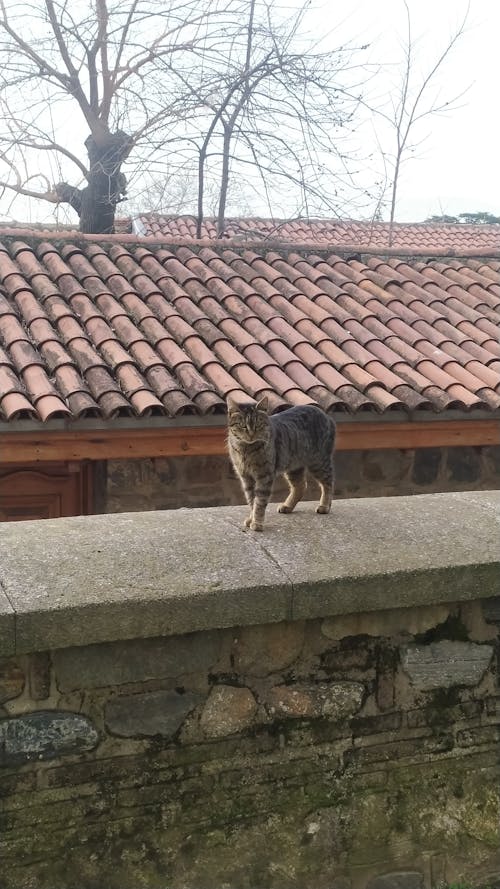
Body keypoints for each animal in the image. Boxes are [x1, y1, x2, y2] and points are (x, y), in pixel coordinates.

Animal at [227, 398, 336, 532]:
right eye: (243, 426)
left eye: (258, 425)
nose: (251, 434)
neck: (246, 449)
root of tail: (327, 416)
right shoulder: (246, 477)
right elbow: (252, 500)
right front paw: (251, 519)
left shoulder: (264, 476)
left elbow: (259, 502)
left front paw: (257, 522)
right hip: (294, 466)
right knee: (301, 486)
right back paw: (287, 506)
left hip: (319, 462)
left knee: (328, 483)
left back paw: (324, 506)